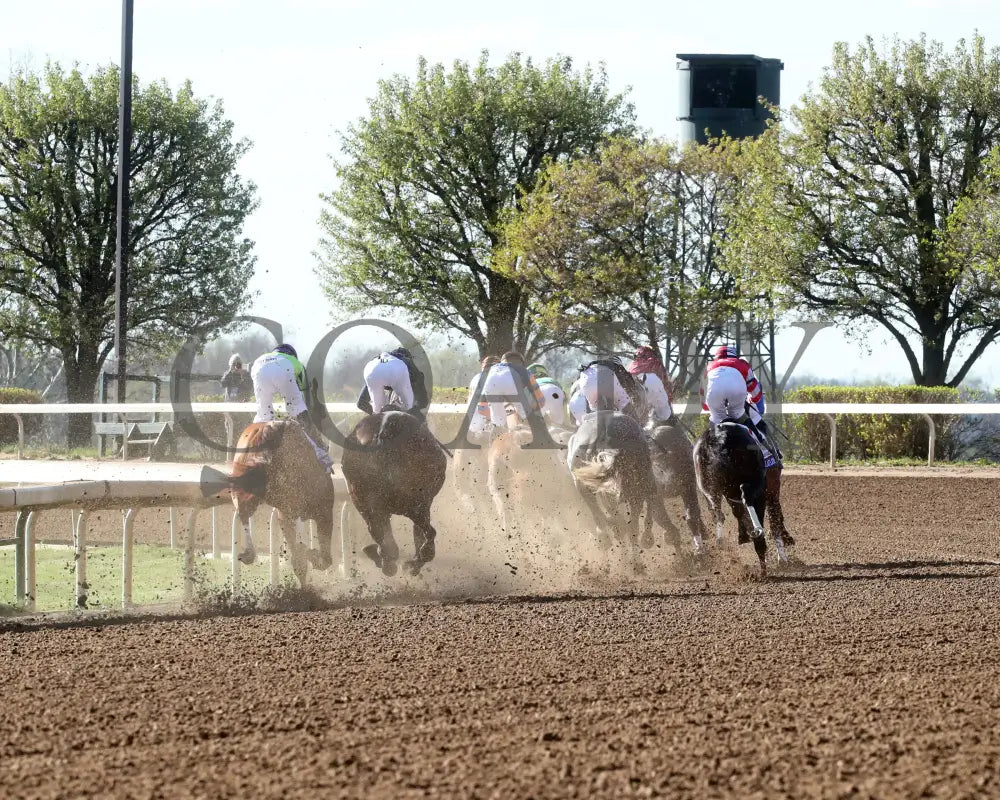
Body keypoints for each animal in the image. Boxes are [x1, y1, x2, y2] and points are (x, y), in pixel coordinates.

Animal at [228, 422, 334, 584]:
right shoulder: (323, 511)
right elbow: (324, 559)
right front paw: (310, 554)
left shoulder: (286, 514)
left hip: (242, 487)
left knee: (243, 512)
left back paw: (248, 553)